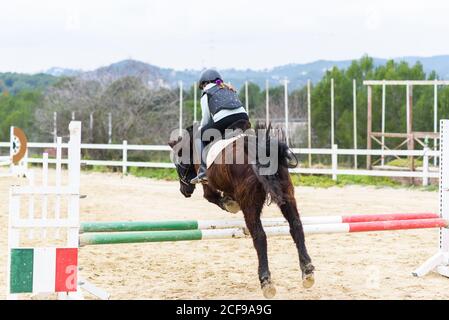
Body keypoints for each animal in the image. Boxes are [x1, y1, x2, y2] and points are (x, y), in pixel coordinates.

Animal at [168, 122, 316, 298]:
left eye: (177, 163)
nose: (184, 191)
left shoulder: (208, 183)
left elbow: (210, 196)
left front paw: (230, 204)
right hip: (287, 195)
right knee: (296, 225)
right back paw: (307, 272)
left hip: (249, 204)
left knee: (259, 236)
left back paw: (266, 282)